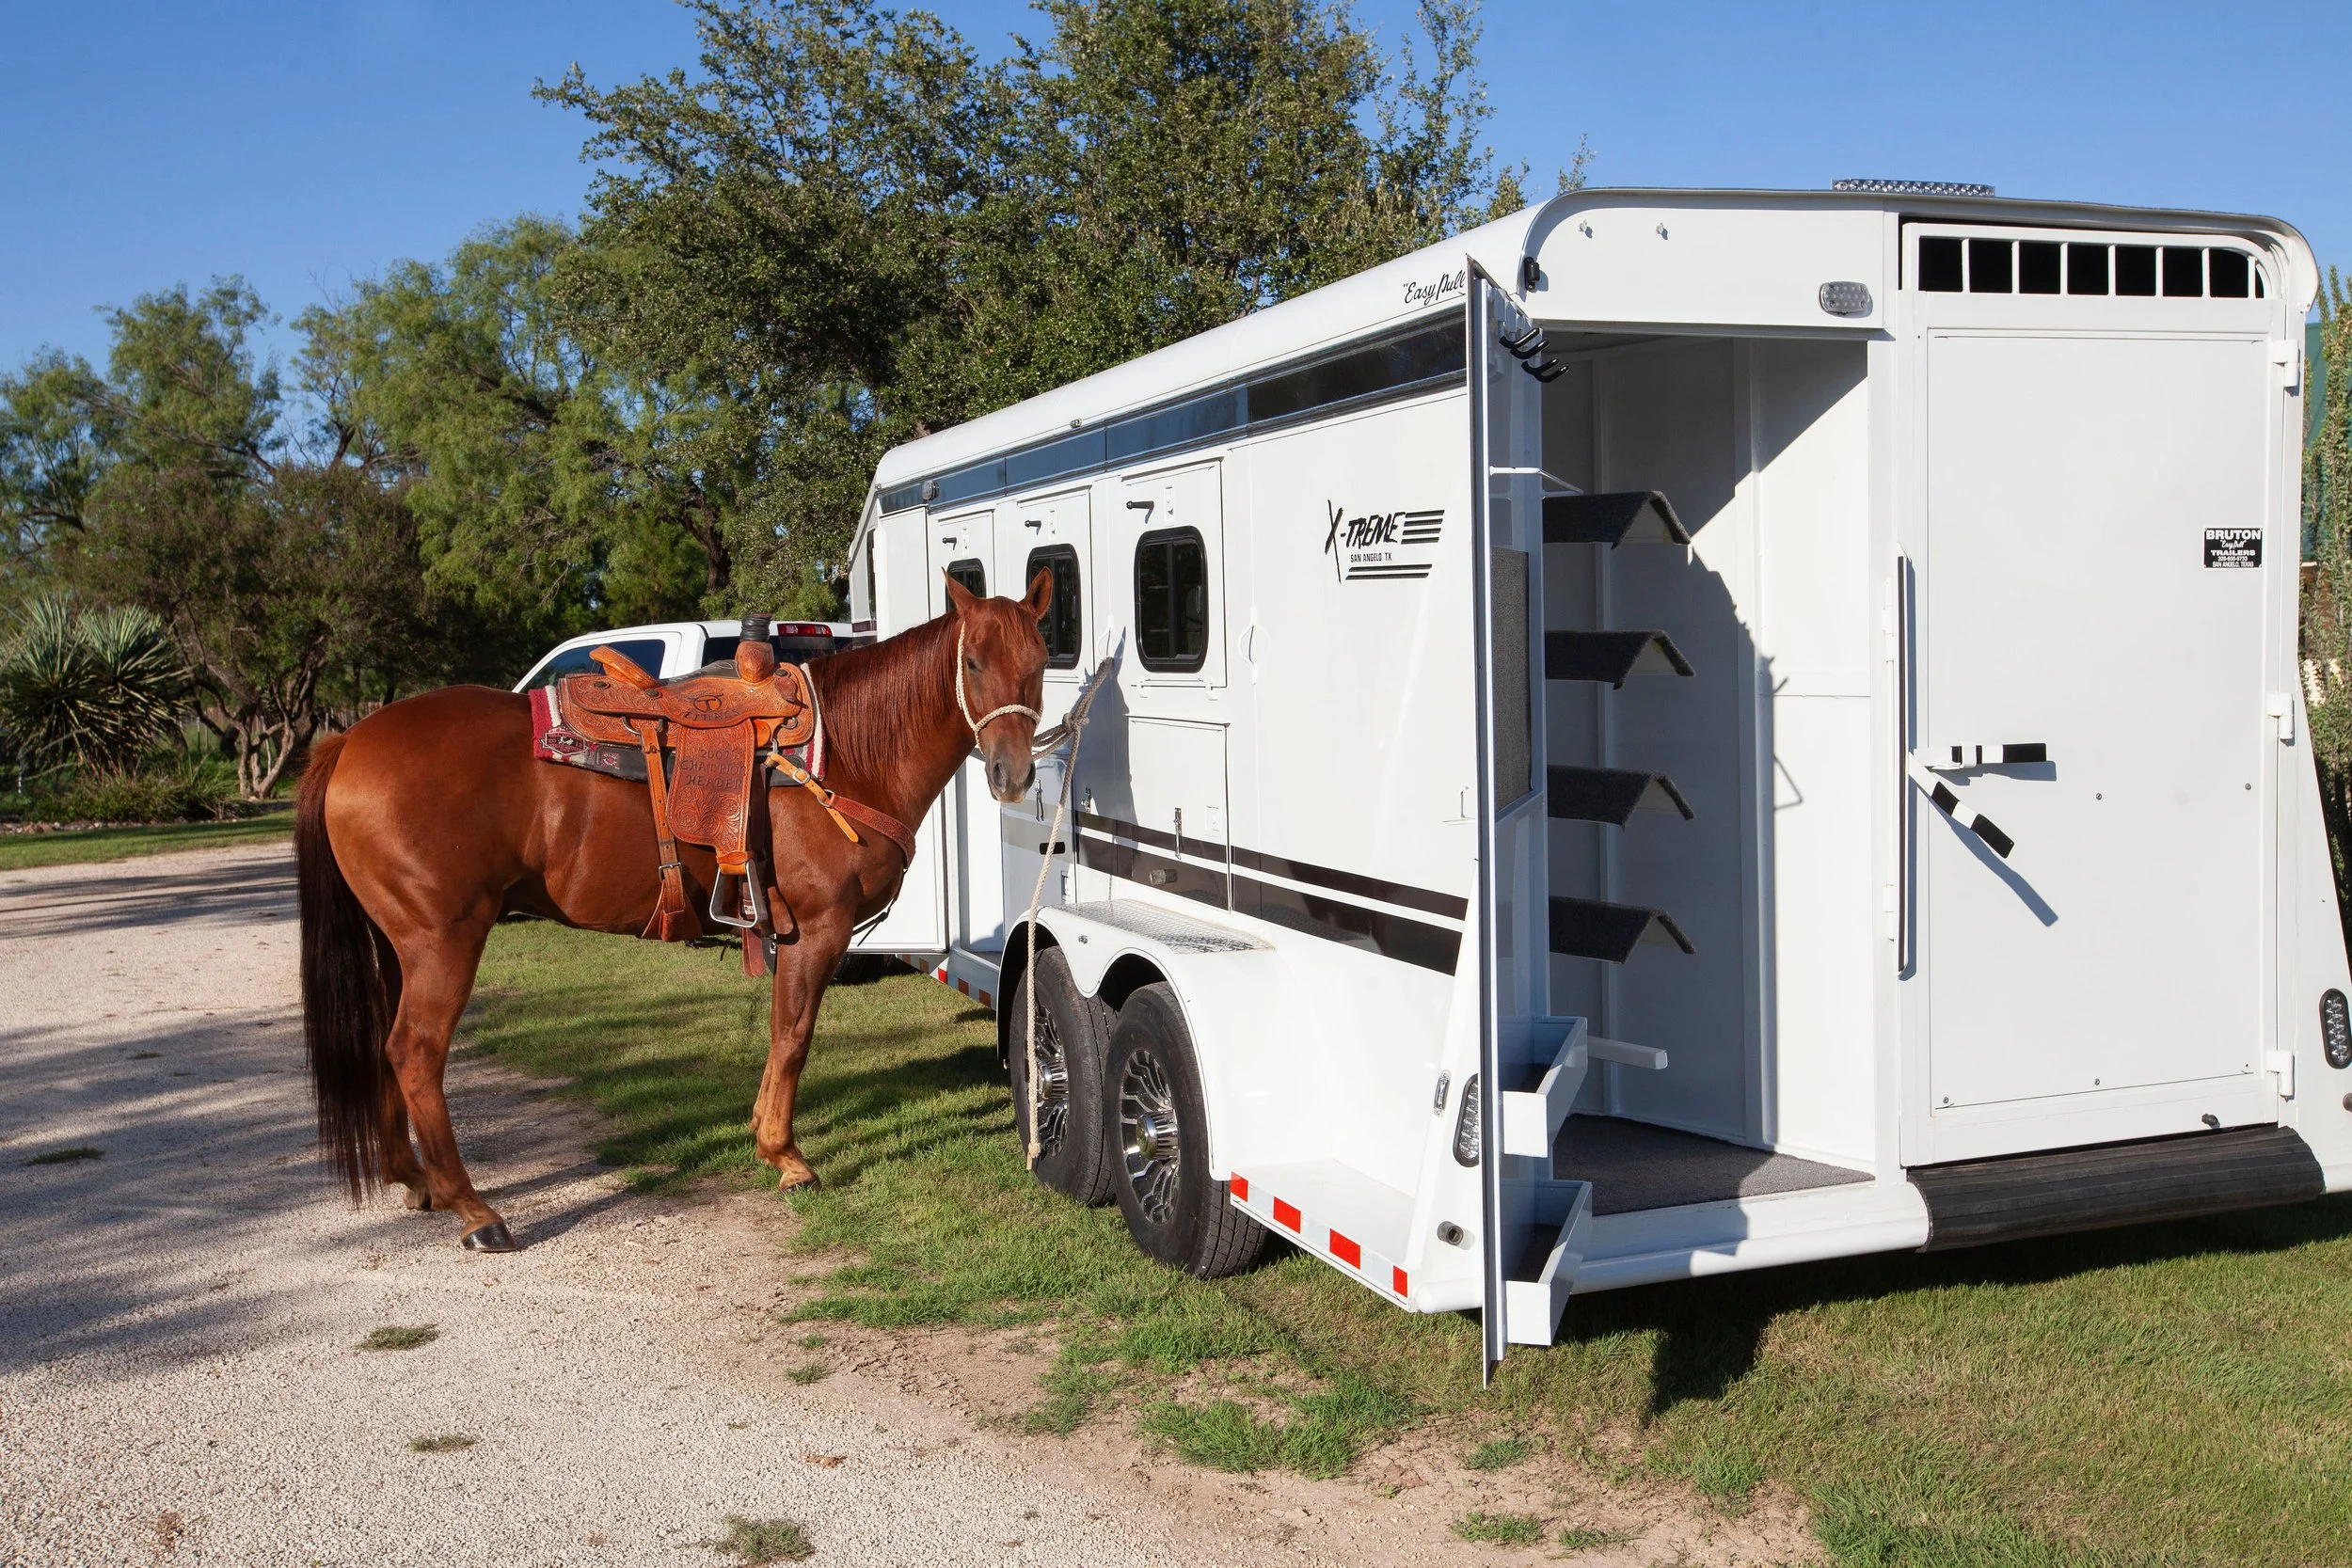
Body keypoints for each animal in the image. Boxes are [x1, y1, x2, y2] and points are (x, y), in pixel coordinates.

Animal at [295, 571, 1051, 1250]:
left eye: (1042, 661)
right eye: (974, 663)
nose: (1012, 774)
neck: (845, 752)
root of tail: (347, 740)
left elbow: (779, 1034)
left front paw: (764, 1139)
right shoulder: (818, 931)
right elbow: (793, 1036)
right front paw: (788, 1158)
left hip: (399, 946)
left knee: (384, 1046)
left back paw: (414, 1179)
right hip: (443, 940)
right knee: (415, 1052)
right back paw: (473, 1209)